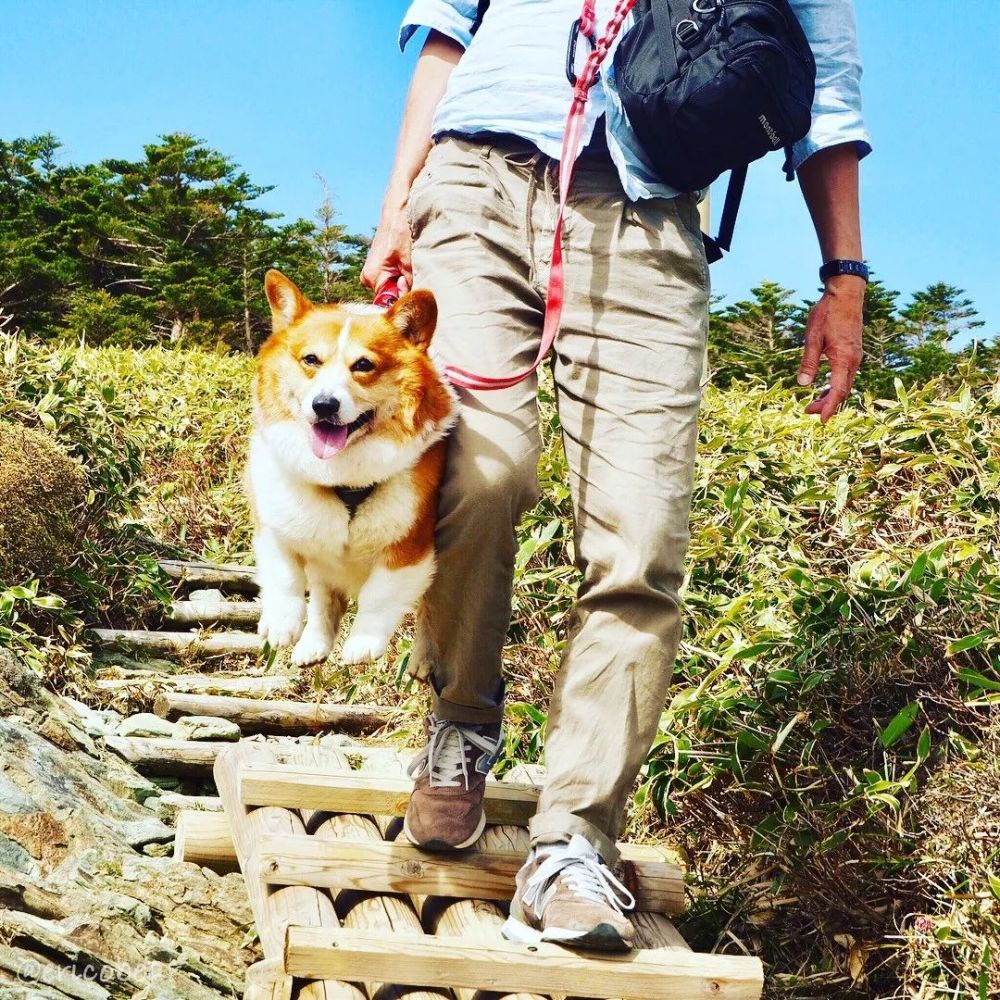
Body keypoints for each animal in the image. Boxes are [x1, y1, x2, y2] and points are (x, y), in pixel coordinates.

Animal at [247, 270, 458, 668]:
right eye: (311, 360)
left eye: (363, 365)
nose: (324, 405)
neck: (343, 477)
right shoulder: (275, 525)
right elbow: (285, 576)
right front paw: (281, 625)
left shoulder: (410, 548)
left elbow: (379, 595)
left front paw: (362, 643)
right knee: (322, 597)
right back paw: (313, 644)